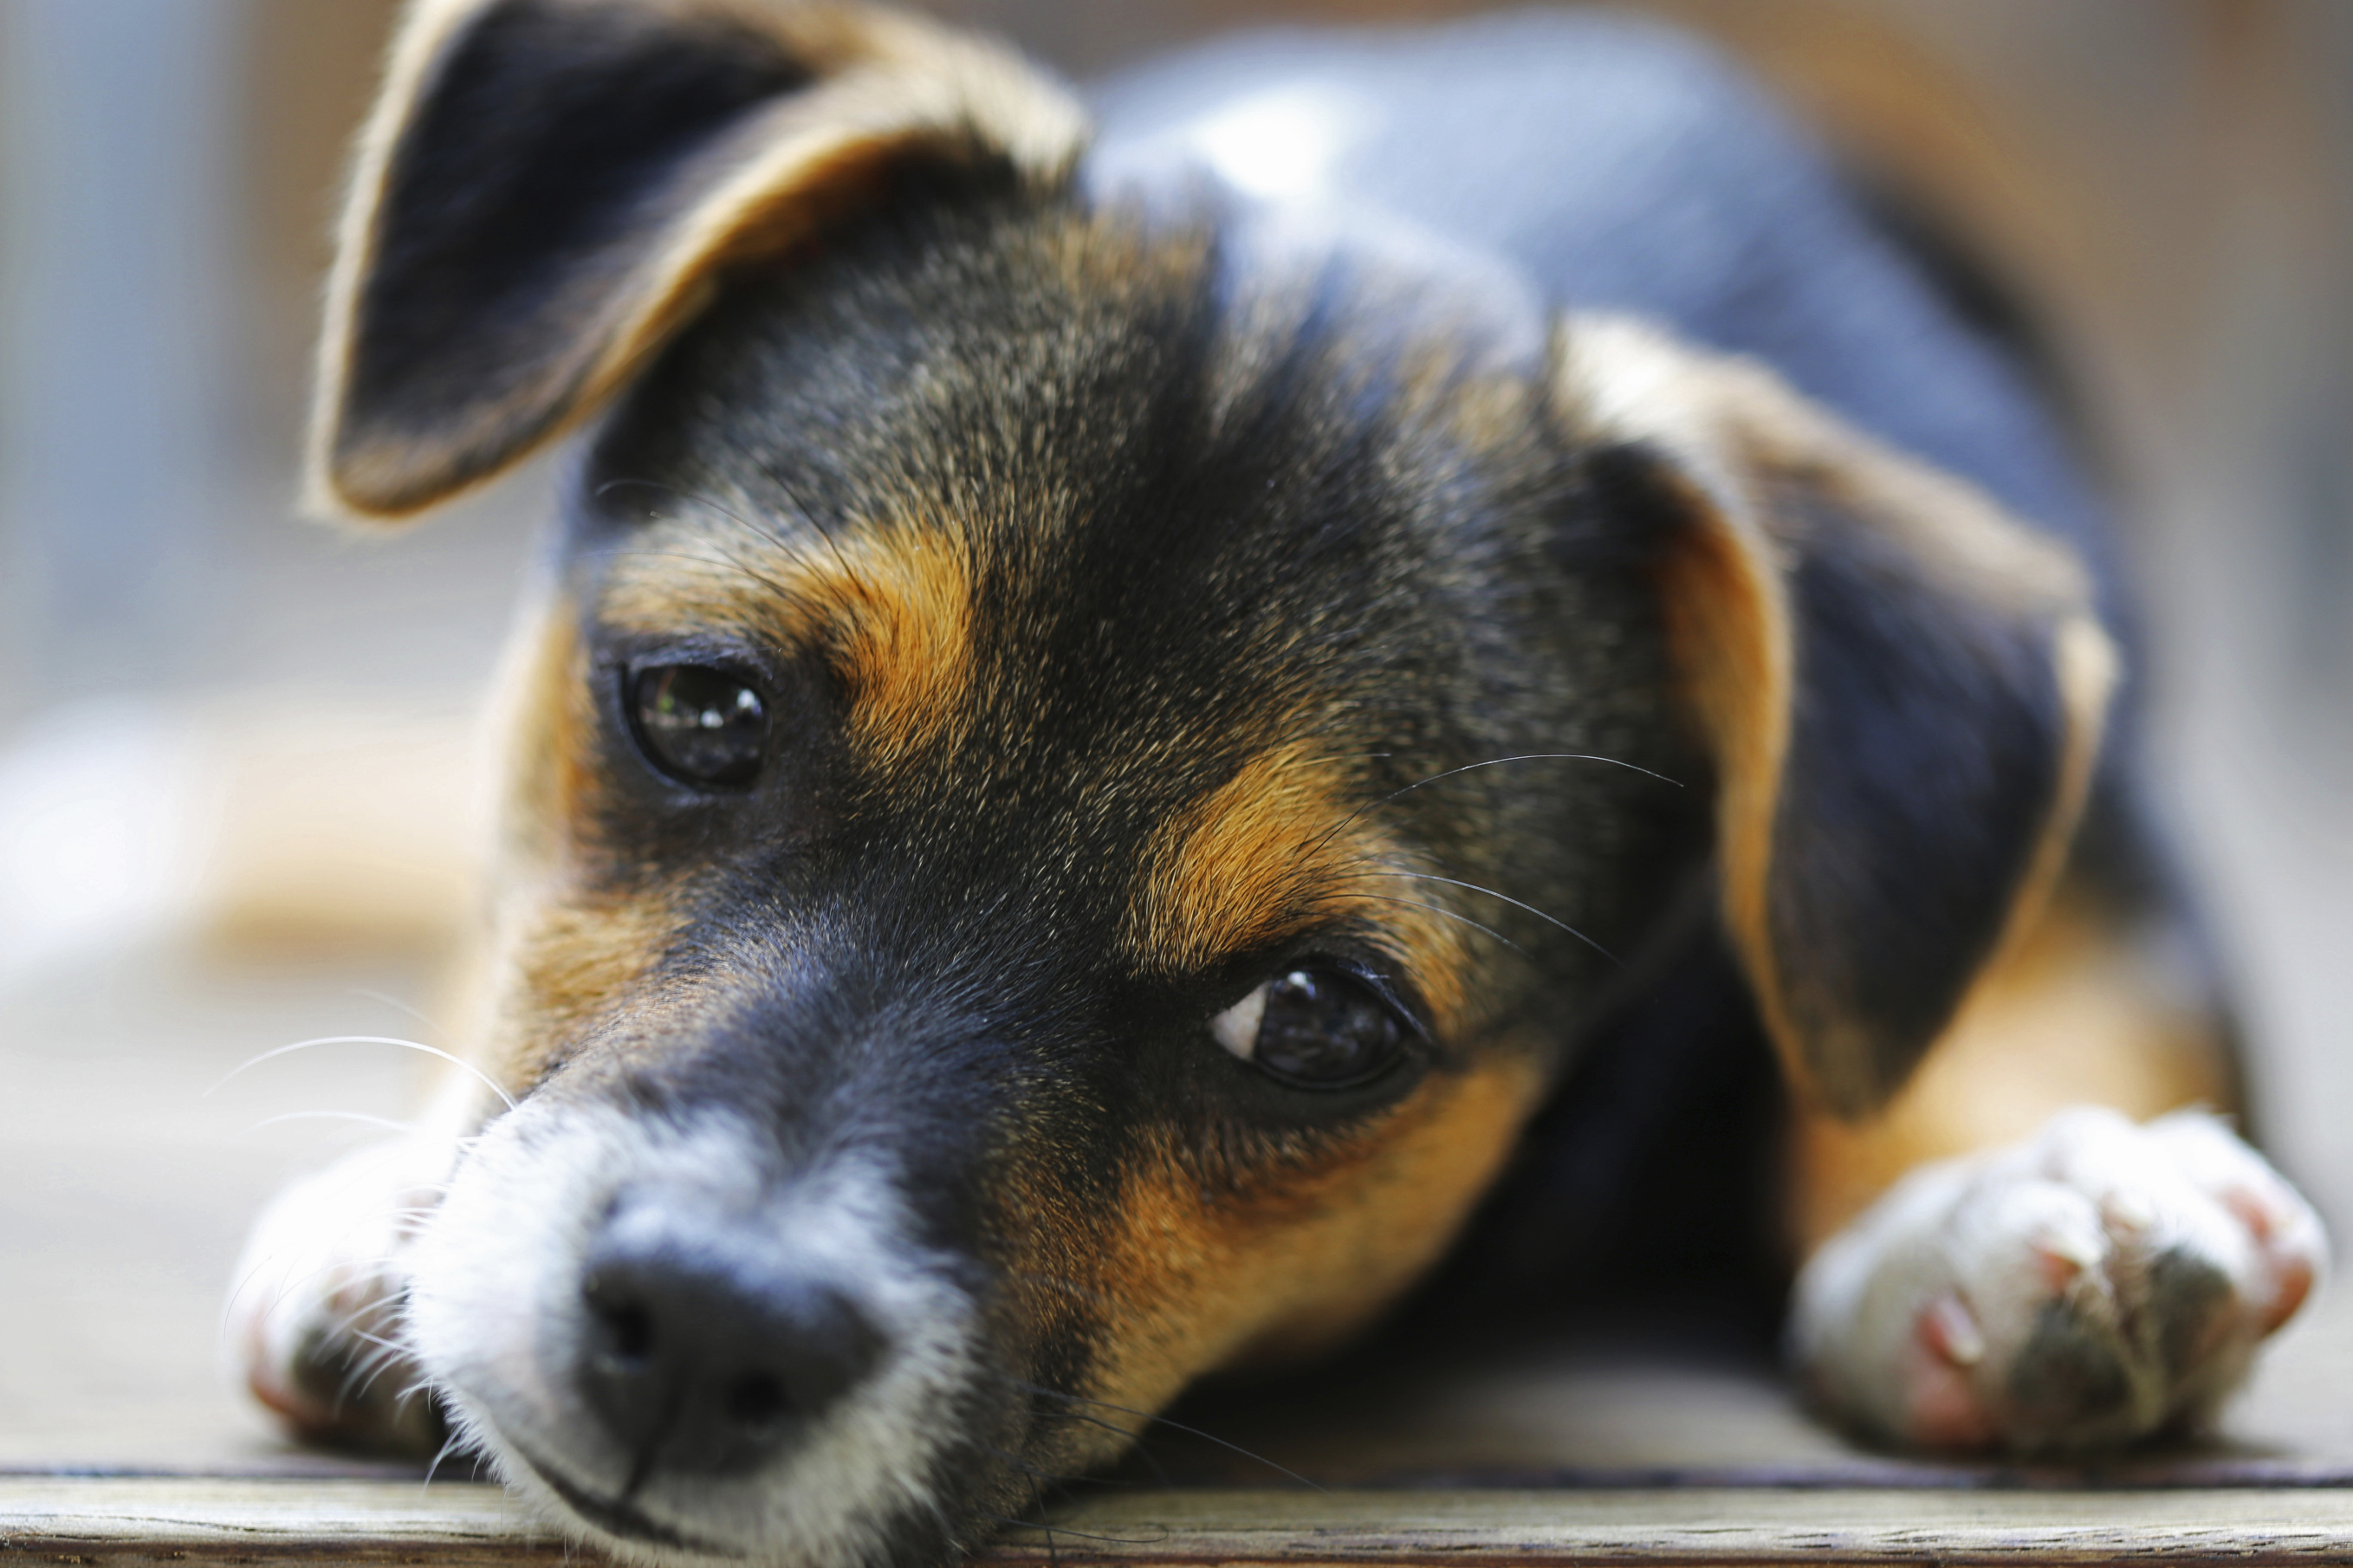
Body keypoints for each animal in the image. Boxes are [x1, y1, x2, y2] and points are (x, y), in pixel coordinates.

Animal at [229, 3, 2324, 1553]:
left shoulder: (2102, 874)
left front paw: (2009, 1210)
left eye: (1315, 1019)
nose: (707, 1324)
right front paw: (384, 1215)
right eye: (703, 711)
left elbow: (1996, 1024)